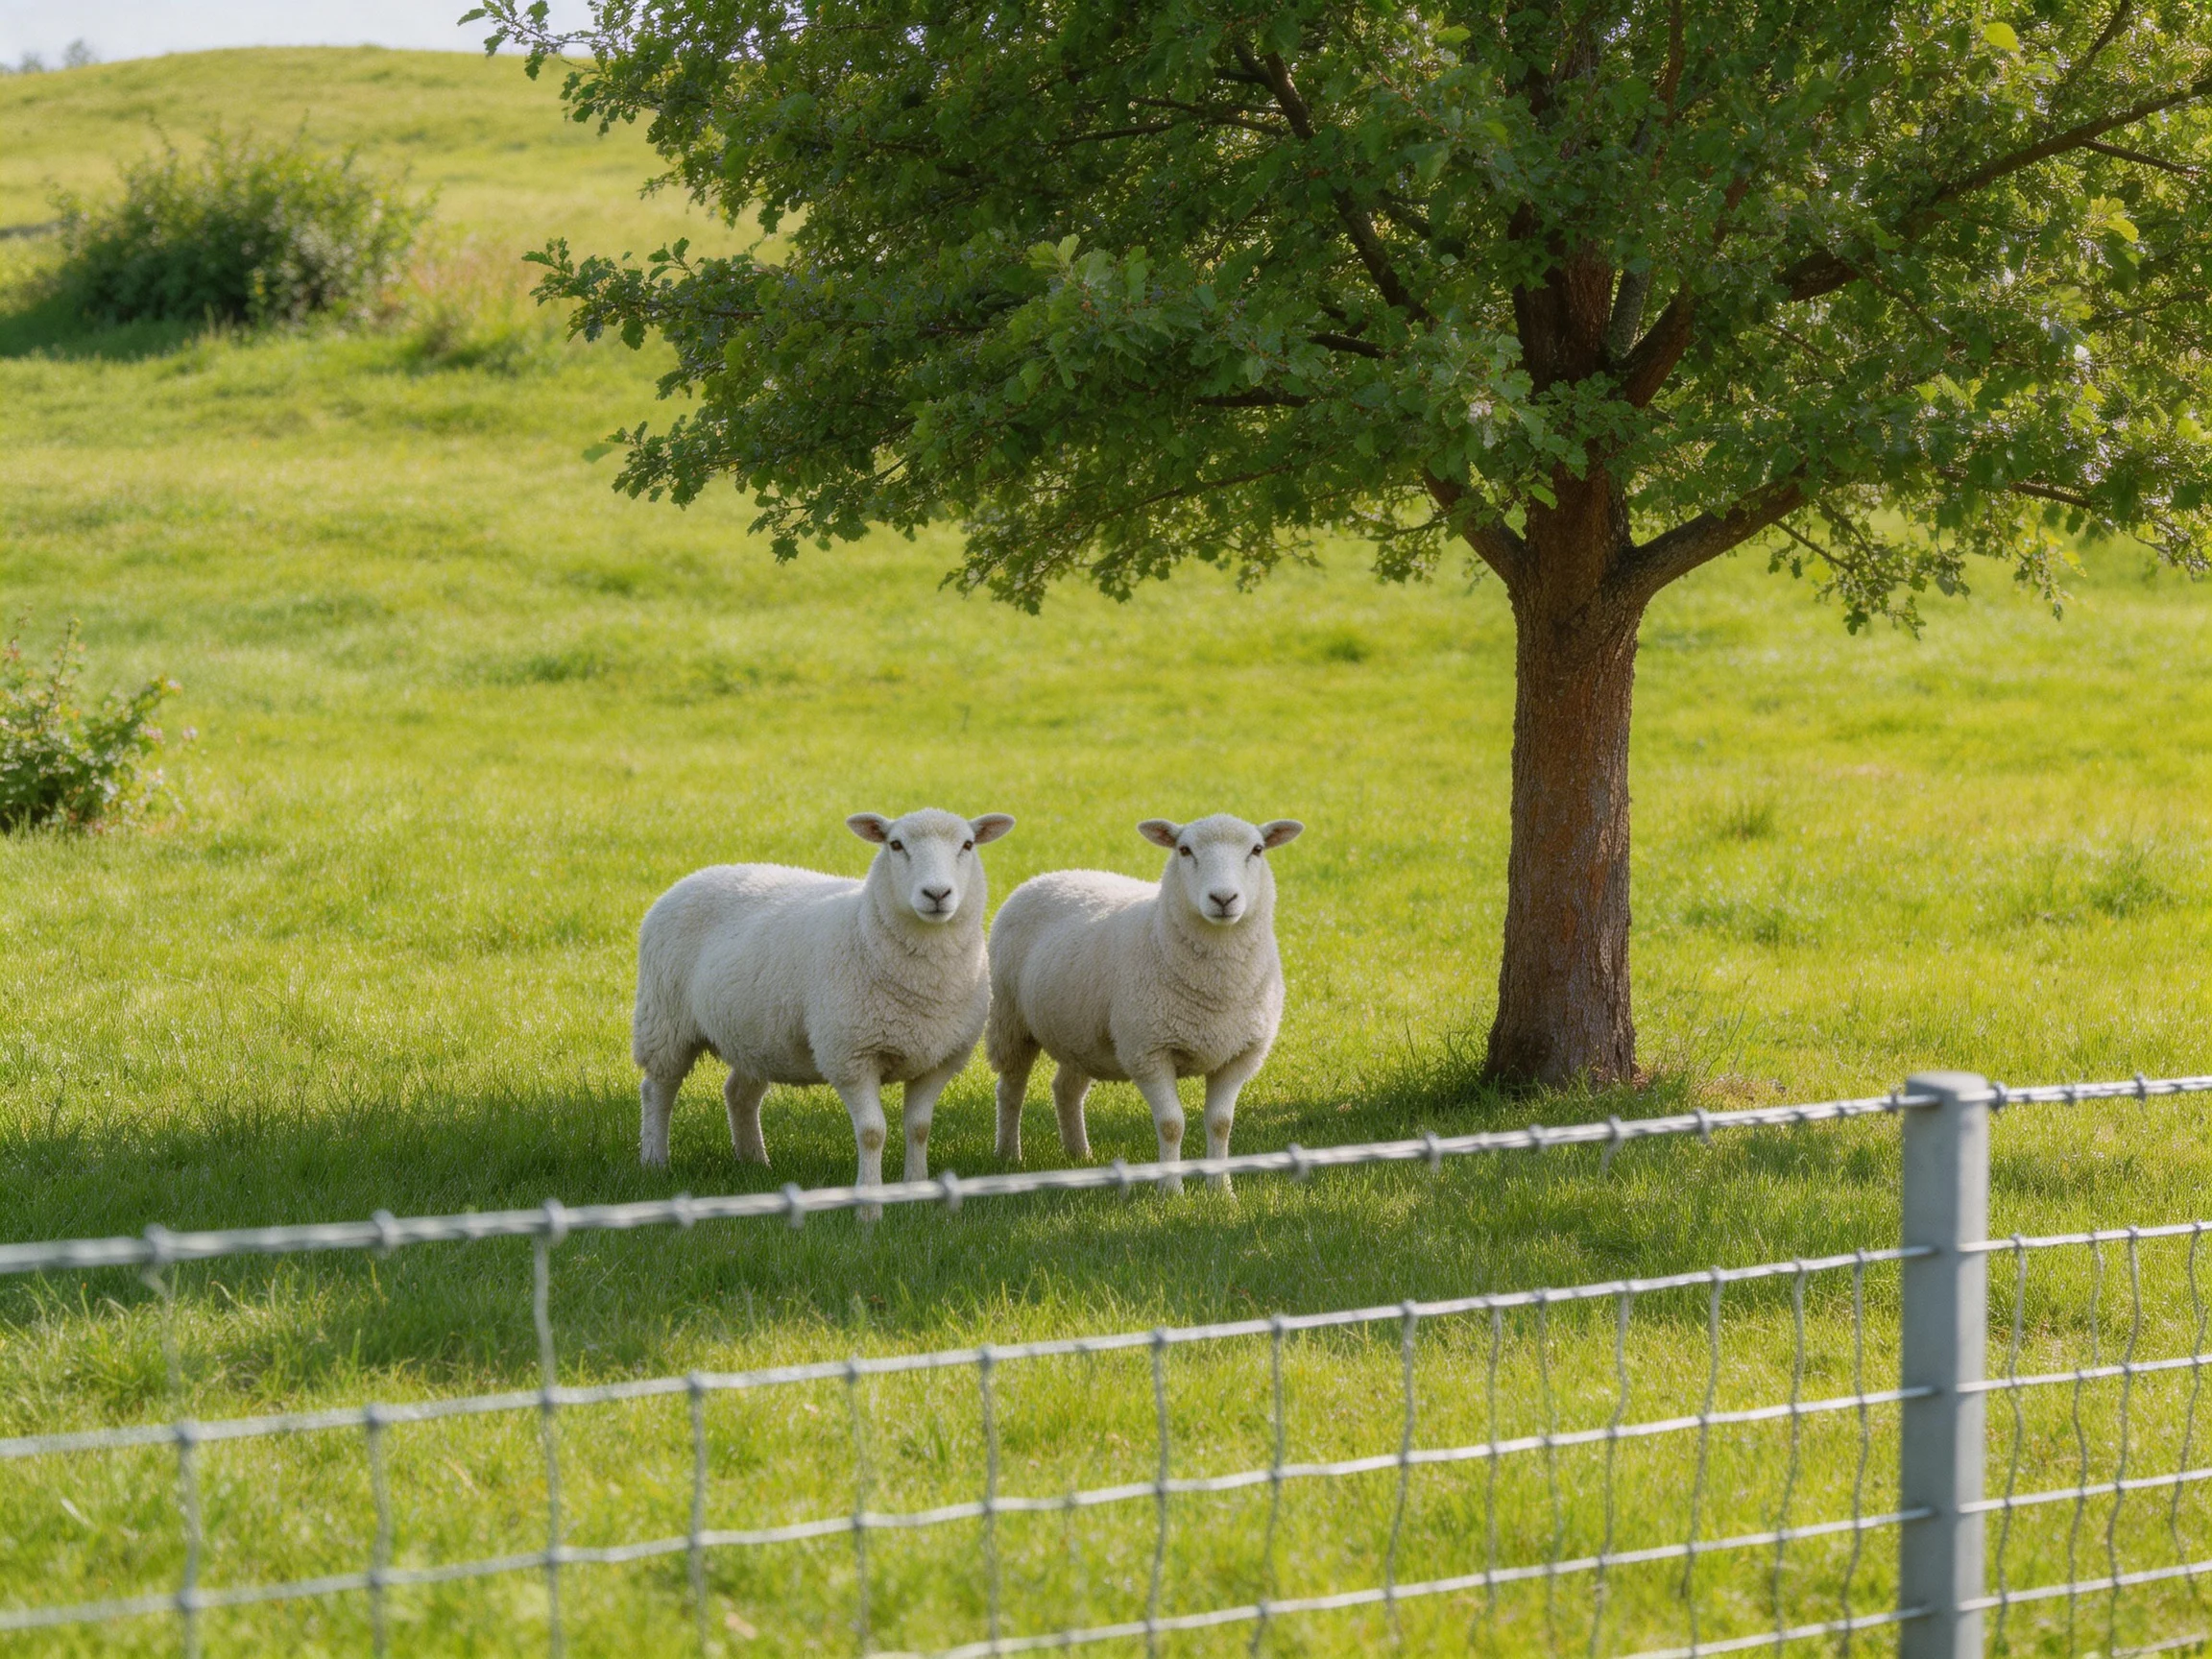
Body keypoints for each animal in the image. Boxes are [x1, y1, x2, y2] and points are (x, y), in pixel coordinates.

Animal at [633, 809, 1015, 1209]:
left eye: (967, 845)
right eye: (895, 845)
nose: (937, 894)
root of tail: (695, 876)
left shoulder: (940, 1060)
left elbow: (920, 1128)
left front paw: (917, 1191)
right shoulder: (851, 1056)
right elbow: (873, 1132)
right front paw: (870, 1199)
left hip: (756, 1034)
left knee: (739, 1093)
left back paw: (755, 1161)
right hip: (664, 1020)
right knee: (658, 1089)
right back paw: (655, 1160)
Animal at [985, 814, 1304, 1192]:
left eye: (1257, 849)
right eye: (1184, 850)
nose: (1223, 898)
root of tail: (1050, 875)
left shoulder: (1240, 1055)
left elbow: (1221, 1124)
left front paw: (1222, 1191)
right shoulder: (1148, 1051)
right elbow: (1171, 1124)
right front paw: (1172, 1191)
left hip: (1080, 1033)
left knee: (1066, 1089)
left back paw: (1079, 1154)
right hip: (1010, 1020)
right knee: (1011, 1090)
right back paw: (1008, 1155)